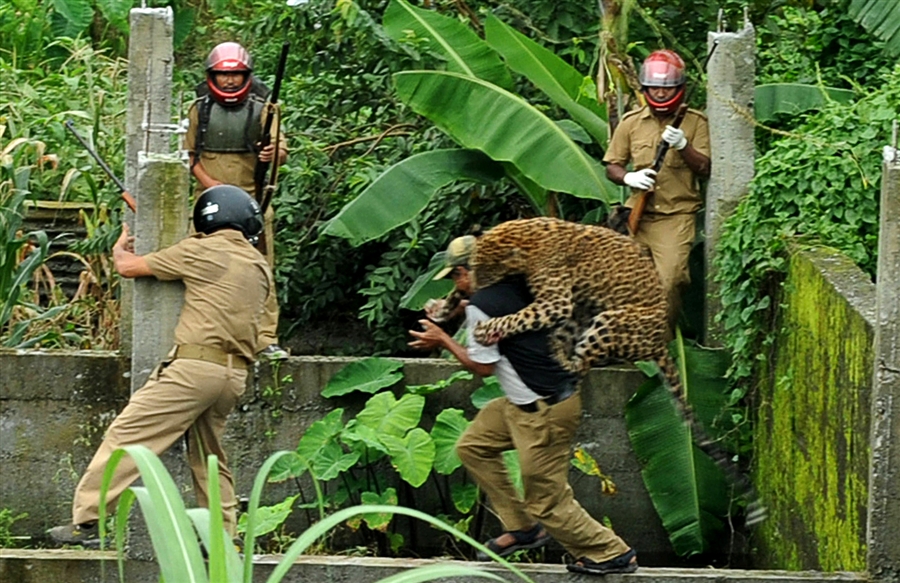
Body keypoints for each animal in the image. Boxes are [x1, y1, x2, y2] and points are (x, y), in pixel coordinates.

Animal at [433, 217, 765, 525]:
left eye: (487, 273)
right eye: (475, 269)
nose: (477, 286)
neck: (526, 237)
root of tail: (660, 342)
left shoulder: (555, 303)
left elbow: (521, 316)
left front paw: (486, 327)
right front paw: (441, 307)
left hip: (609, 318)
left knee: (581, 365)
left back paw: (560, 355)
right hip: (582, 311)